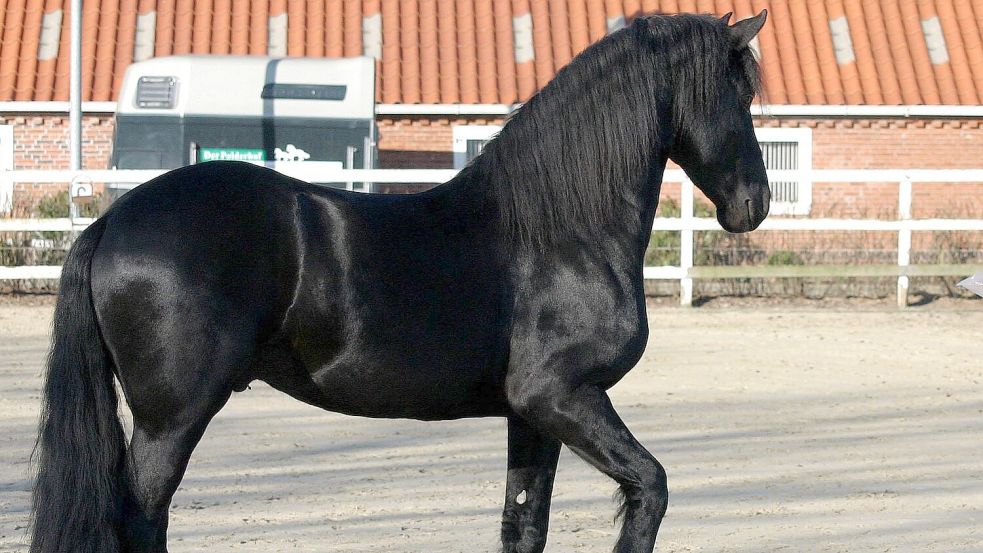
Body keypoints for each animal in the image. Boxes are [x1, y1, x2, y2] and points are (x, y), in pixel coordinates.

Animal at [28, 9, 768, 552]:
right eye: (740, 93)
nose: (753, 204)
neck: (559, 229)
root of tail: (113, 220)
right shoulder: (562, 396)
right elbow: (650, 487)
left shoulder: (530, 415)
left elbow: (523, 523)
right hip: (172, 417)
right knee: (142, 516)